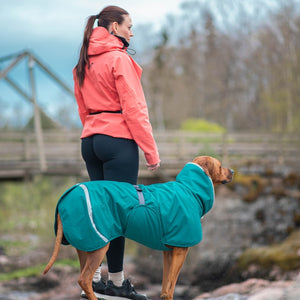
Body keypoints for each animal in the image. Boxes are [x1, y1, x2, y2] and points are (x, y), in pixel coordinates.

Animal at [43, 156, 233, 298]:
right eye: (220, 165)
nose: (232, 171)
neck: (190, 189)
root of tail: (67, 196)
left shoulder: (168, 252)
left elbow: (165, 287)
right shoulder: (181, 250)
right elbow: (171, 286)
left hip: (86, 244)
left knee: (85, 280)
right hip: (100, 243)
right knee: (84, 279)